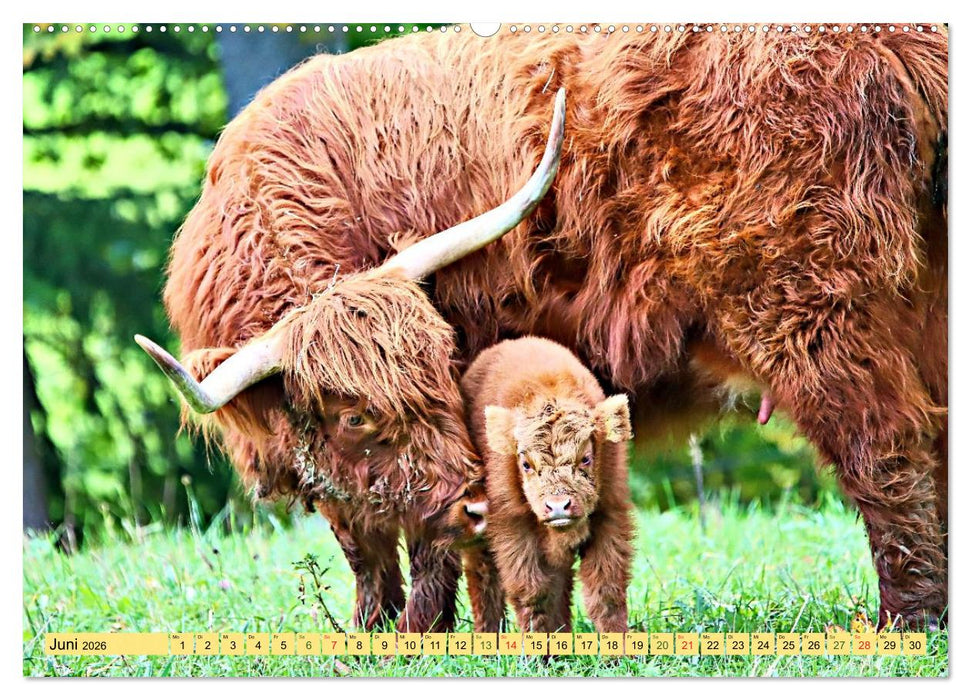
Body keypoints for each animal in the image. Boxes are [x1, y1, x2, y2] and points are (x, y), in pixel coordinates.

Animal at [459, 336, 634, 633]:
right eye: (526, 464)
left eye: (586, 458)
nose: (558, 506)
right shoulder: (513, 528)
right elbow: (532, 594)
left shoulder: (609, 515)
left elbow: (606, 592)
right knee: (483, 578)